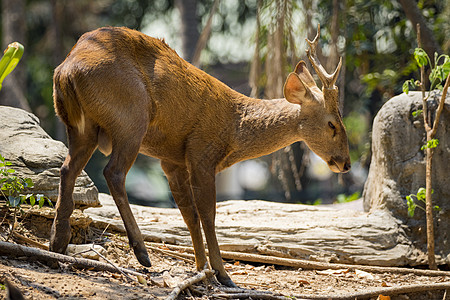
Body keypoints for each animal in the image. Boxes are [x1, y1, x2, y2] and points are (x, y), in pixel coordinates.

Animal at [50, 24, 352, 288]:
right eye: (332, 124)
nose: (346, 163)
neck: (235, 127)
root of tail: (66, 70)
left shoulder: (172, 161)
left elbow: (189, 214)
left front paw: (200, 268)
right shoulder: (202, 152)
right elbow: (208, 214)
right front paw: (222, 274)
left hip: (81, 128)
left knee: (68, 169)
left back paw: (57, 243)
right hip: (131, 117)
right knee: (113, 172)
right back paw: (141, 253)